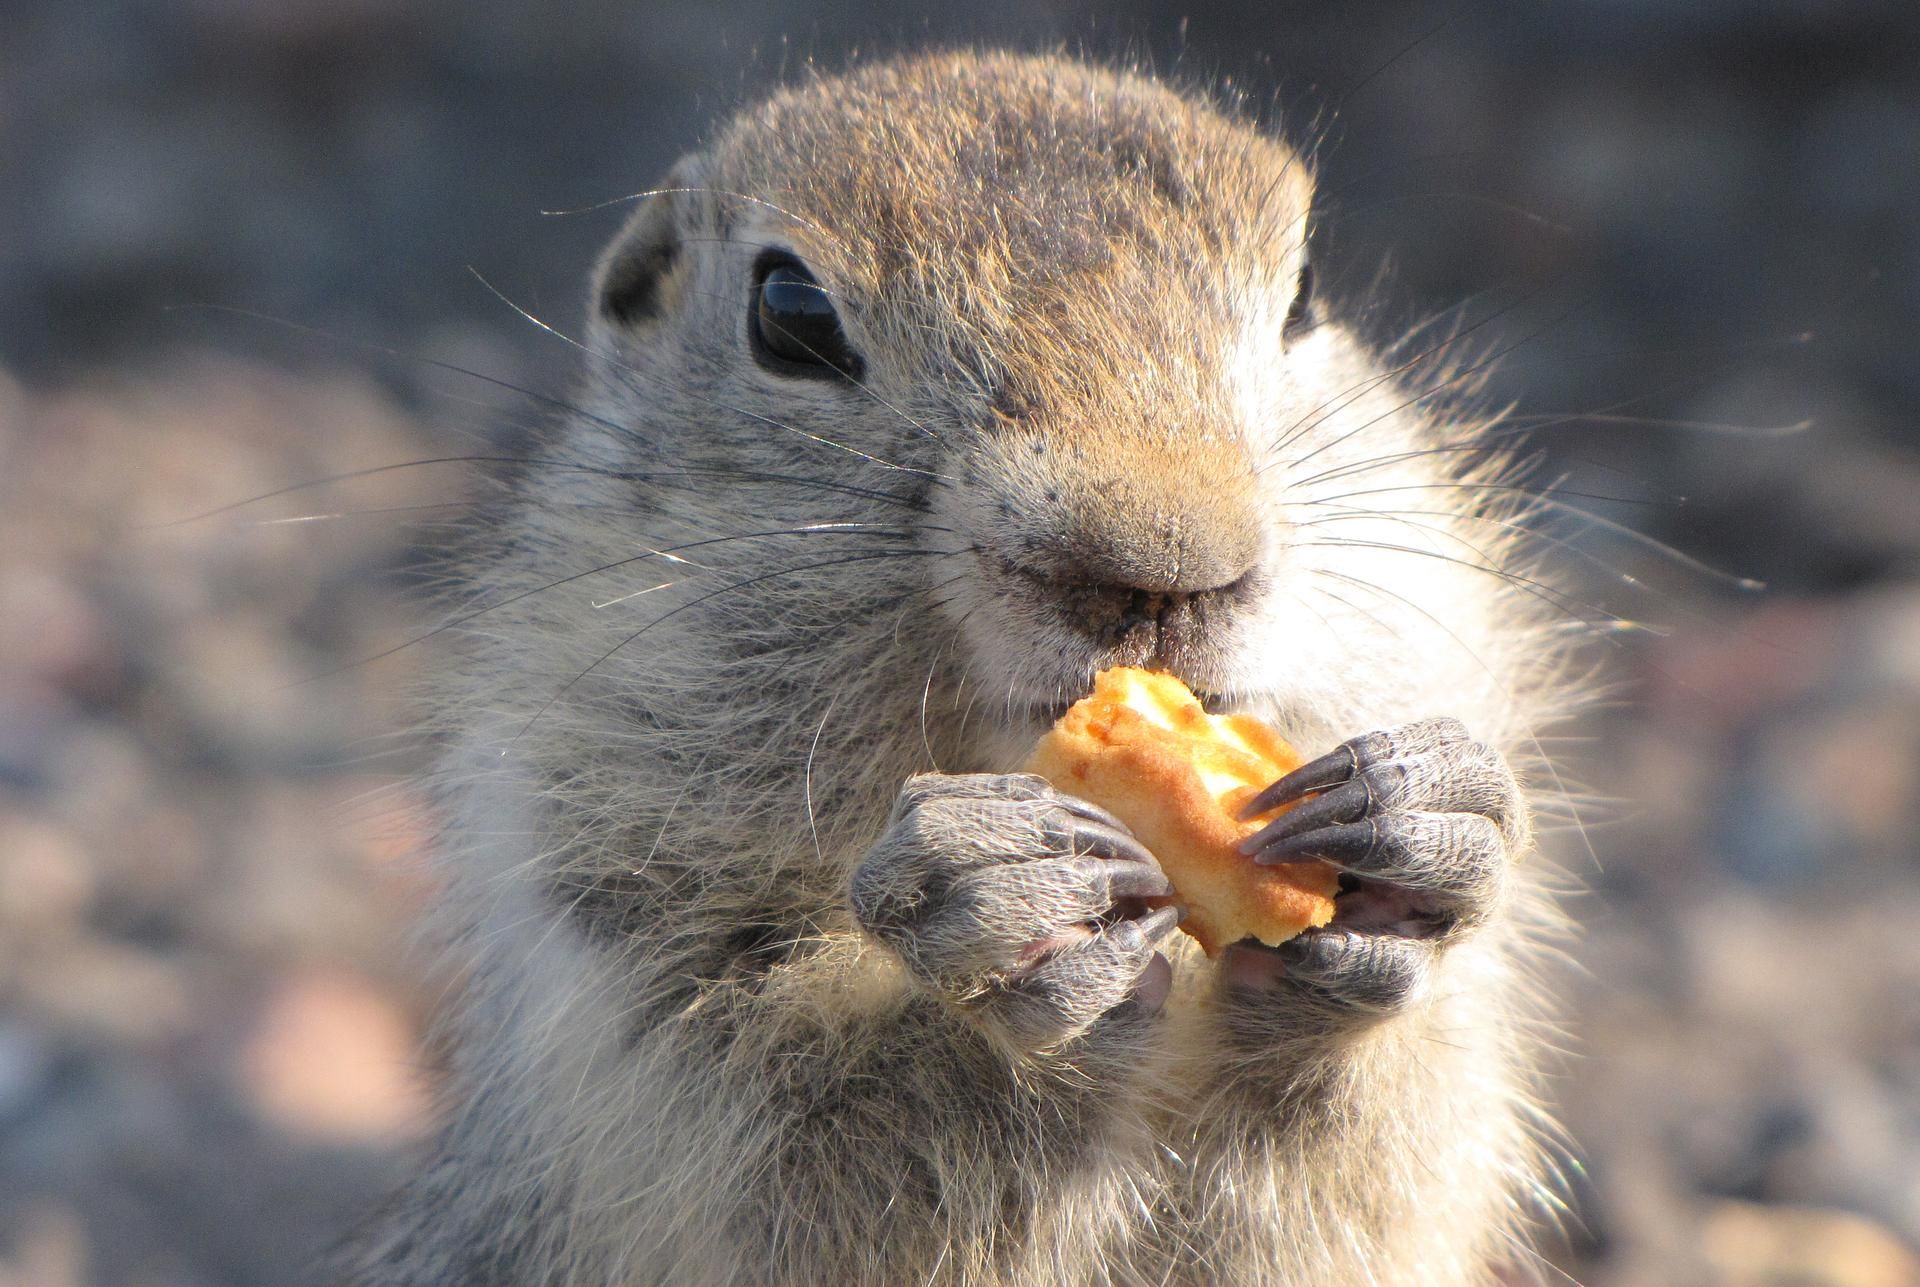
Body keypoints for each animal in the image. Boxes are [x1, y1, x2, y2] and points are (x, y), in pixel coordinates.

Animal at [345, 48, 1589, 1283]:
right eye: (788, 313)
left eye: (1307, 294)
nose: (1164, 569)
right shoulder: (630, 997)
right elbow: (826, 1142)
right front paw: (994, 908)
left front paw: (1427, 829)